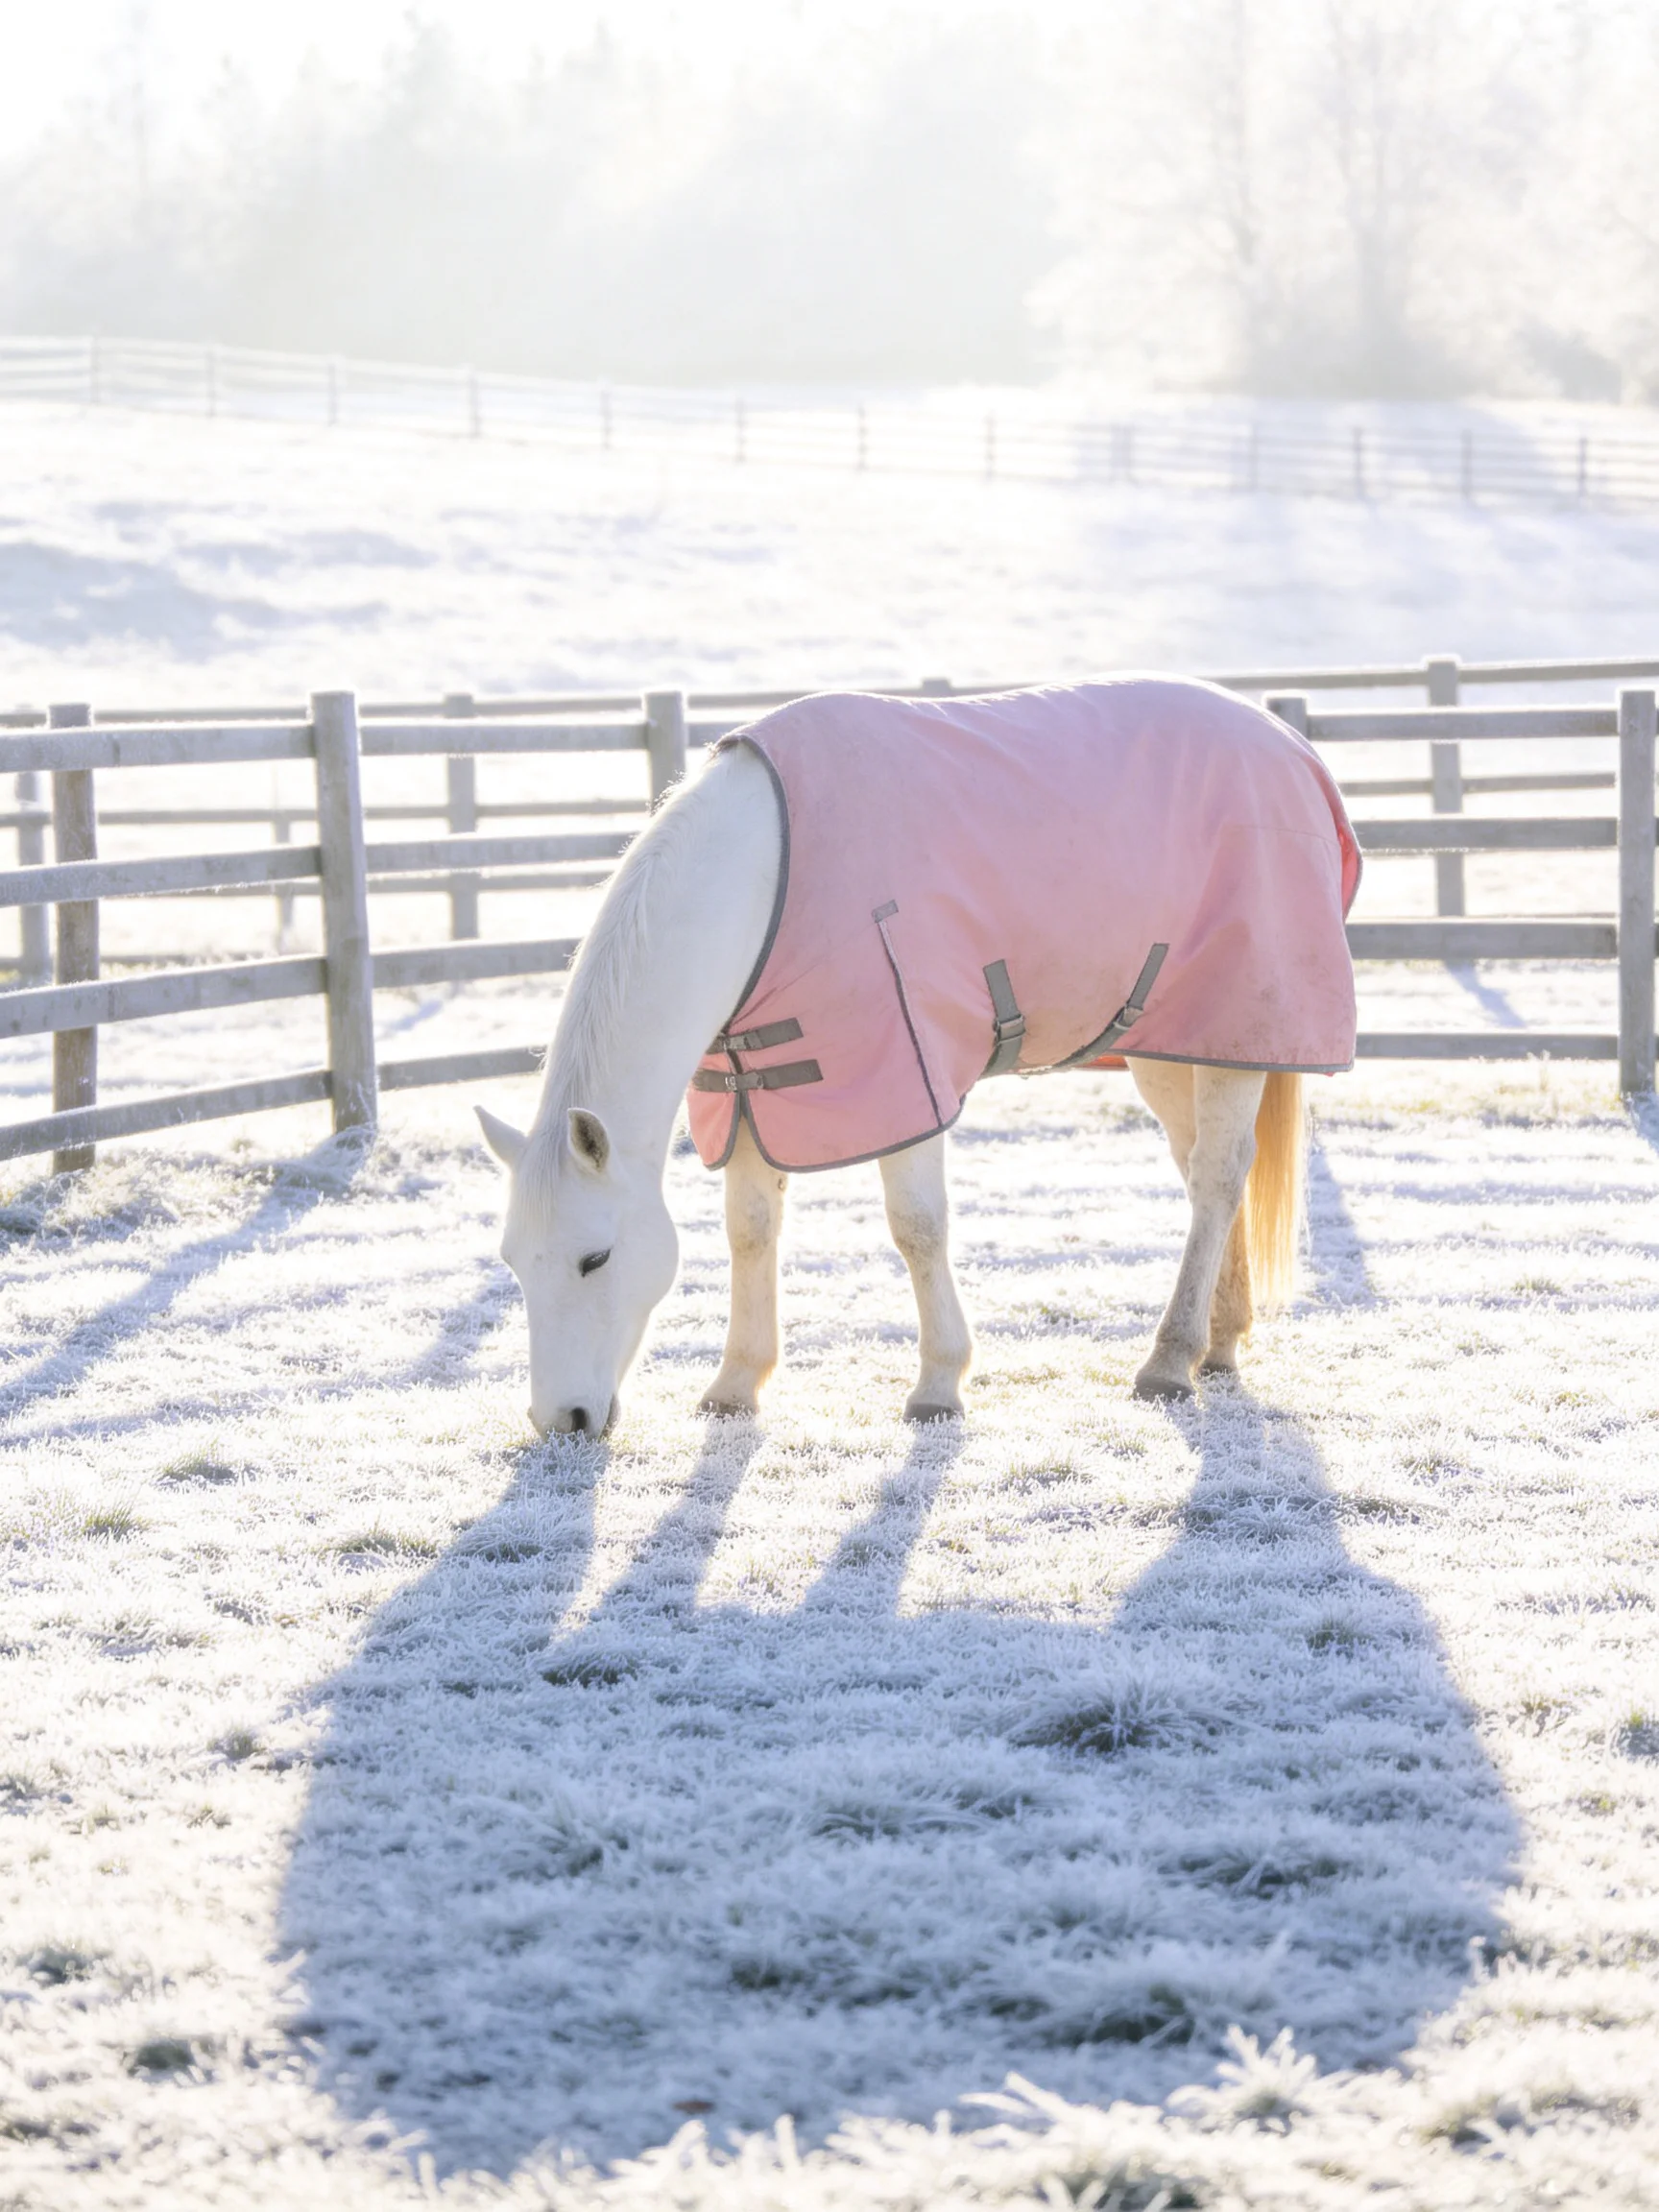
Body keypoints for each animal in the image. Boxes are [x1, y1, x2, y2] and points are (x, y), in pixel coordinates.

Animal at [476, 679, 1360, 1437]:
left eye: (595, 1258)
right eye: (514, 1262)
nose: (563, 1421)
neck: (769, 876)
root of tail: (1292, 748)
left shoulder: (904, 1074)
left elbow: (917, 1229)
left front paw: (939, 1382)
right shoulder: (750, 1086)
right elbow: (750, 1230)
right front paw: (736, 1383)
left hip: (1240, 1027)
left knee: (1215, 1176)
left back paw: (1170, 1360)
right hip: (1174, 1044)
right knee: (1205, 1164)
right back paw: (1221, 1340)